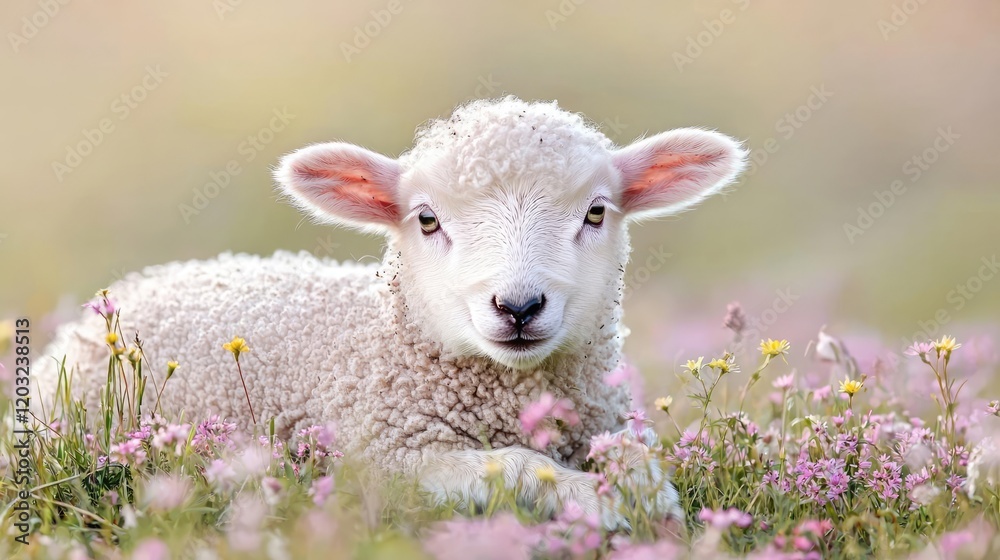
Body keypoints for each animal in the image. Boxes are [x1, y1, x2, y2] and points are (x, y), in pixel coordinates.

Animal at [35, 96, 746, 528]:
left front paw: (640, 486)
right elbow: (516, 465)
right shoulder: (387, 456)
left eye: (597, 212)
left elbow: (629, 454)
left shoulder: (608, 422)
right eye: (427, 220)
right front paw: (598, 499)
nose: (517, 306)